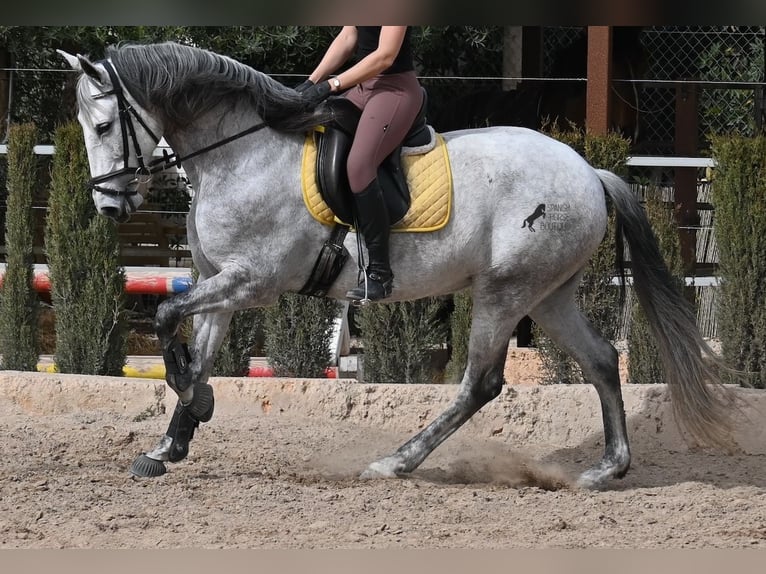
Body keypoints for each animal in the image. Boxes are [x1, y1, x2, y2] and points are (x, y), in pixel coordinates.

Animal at [57, 42, 736, 490]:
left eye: (103, 124)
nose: (109, 205)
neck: (239, 155)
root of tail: (590, 172)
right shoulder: (220, 283)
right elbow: (190, 346)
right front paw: (170, 441)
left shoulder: (253, 282)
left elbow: (166, 316)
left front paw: (194, 410)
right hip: (547, 293)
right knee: (600, 360)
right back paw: (605, 469)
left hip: (504, 291)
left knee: (481, 383)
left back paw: (397, 462)